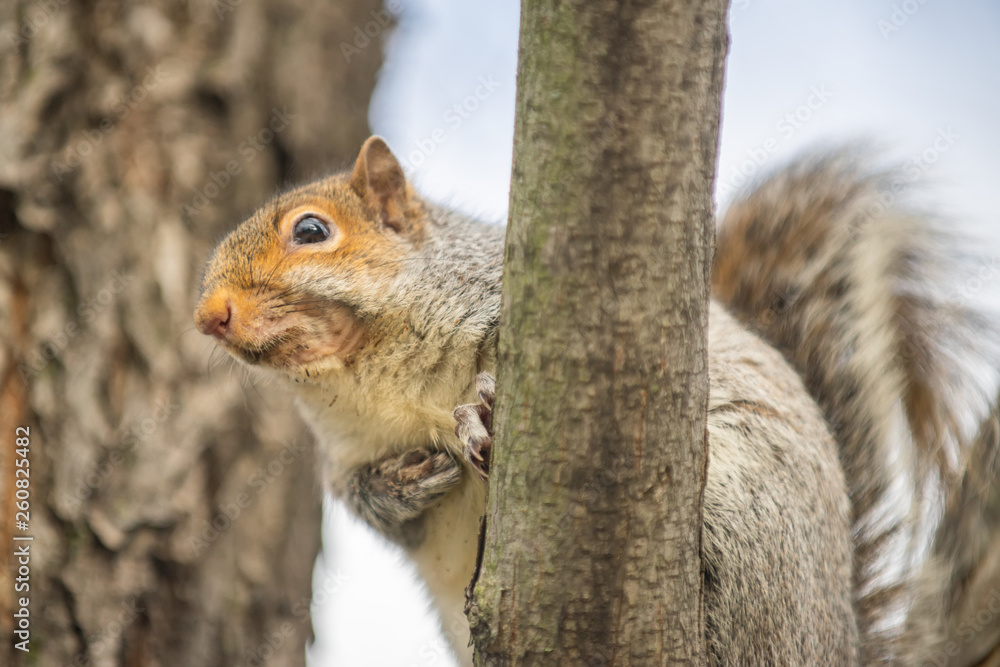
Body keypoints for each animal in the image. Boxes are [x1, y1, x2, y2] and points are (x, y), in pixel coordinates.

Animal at [194, 136, 1000, 666]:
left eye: (311, 230)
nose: (209, 316)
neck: (371, 373)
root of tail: (832, 642)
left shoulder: (508, 299)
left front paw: (479, 407)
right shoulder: (343, 450)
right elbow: (371, 504)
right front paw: (407, 479)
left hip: (751, 517)